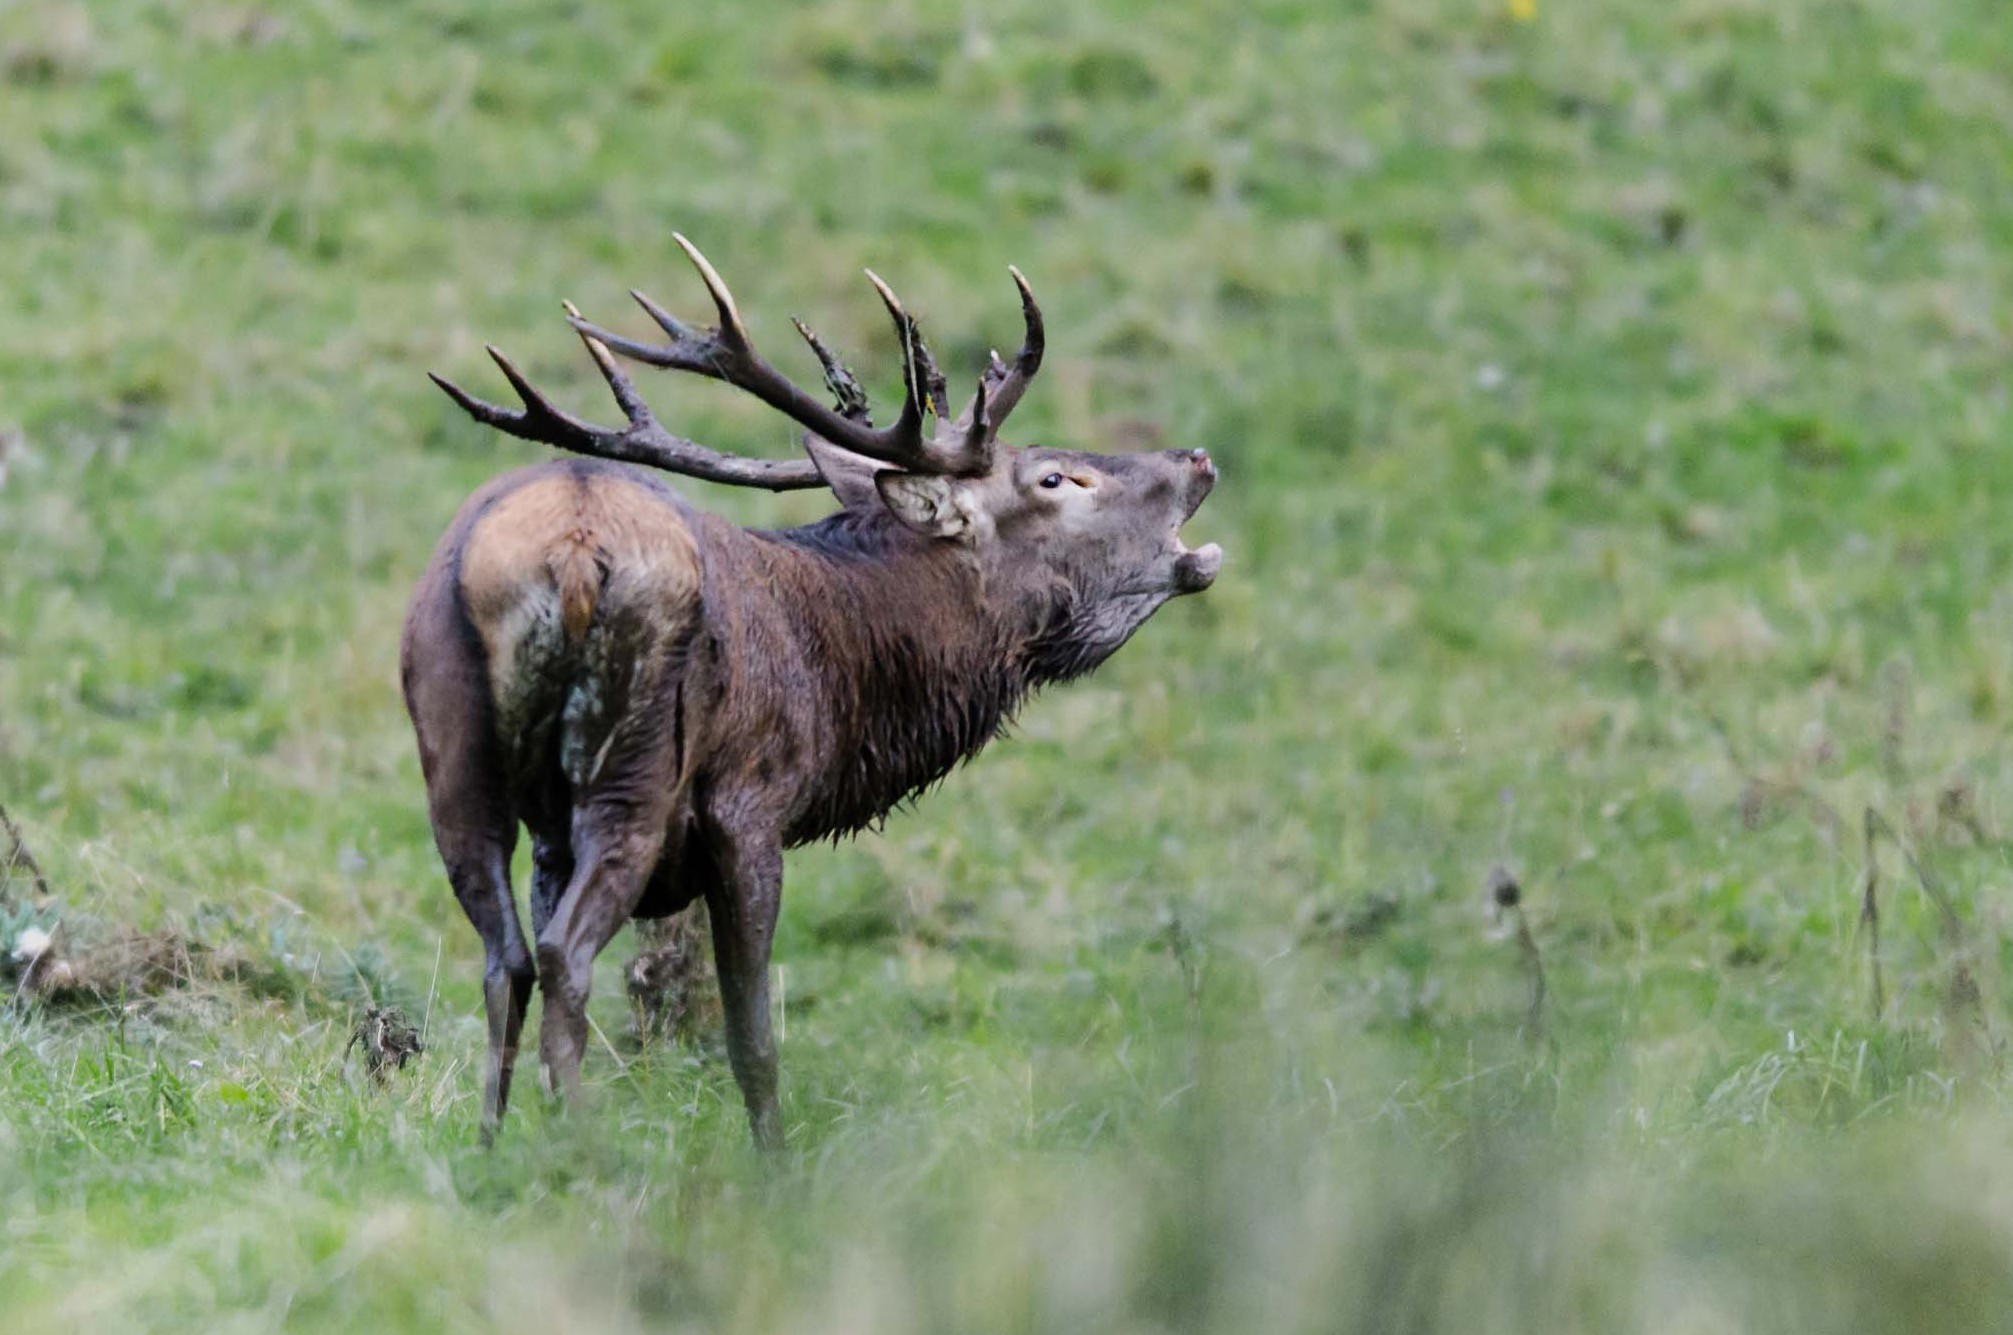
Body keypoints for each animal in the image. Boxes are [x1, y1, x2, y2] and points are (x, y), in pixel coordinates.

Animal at [402, 236, 1221, 1147]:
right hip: (634, 765)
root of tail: (569, 554)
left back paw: (495, 1148)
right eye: (1054, 478)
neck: (844, 676)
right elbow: (751, 1034)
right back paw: (587, 1148)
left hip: (453, 750)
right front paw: (776, 1165)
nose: (1195, 457)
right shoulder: (751, 809)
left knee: (505, 957)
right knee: (562, 954)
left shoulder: (555, 834)